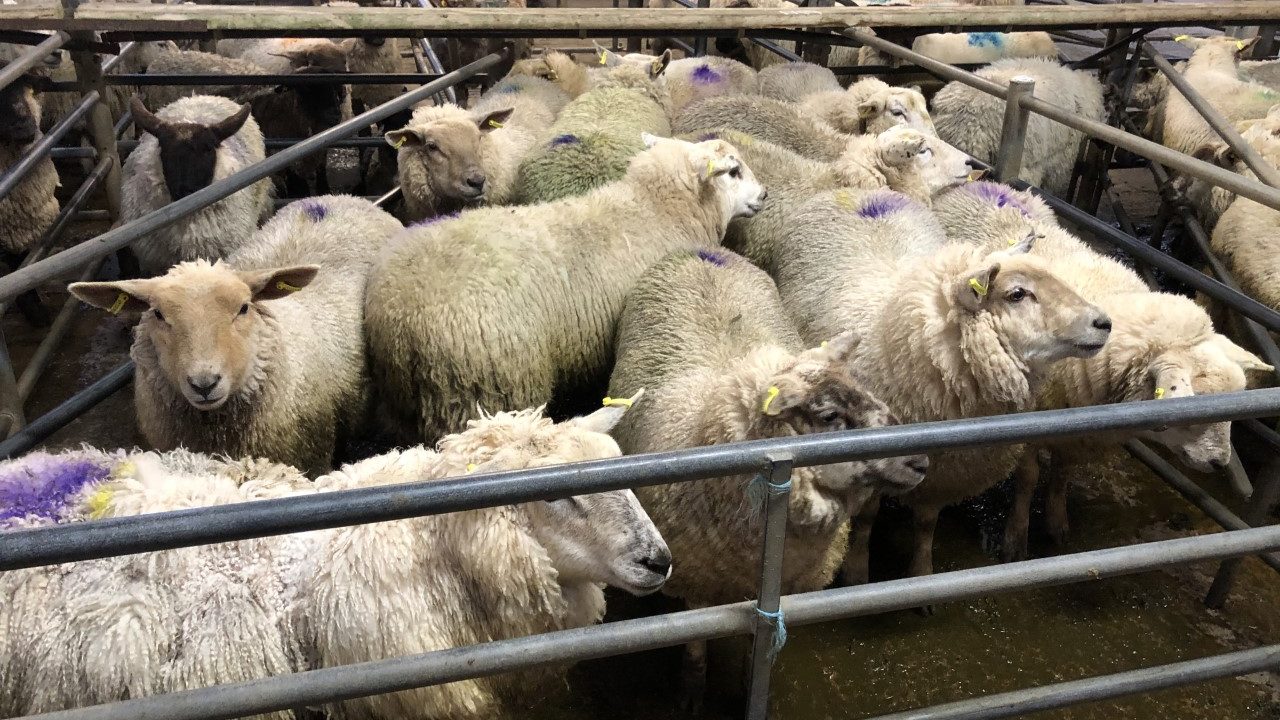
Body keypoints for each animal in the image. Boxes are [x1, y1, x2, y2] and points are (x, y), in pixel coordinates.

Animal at [364, 134, 767, 442]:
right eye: (734, 171)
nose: (764, 195)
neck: (655, 208)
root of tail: (398, 314)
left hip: (405, 401)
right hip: (486, 390)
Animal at [608, 249, 927, 706]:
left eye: (868, 394)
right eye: (829, 416)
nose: (921, 462)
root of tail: (703, 250)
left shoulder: (772, 591)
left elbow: (756, 649)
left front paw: (750, 683)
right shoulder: (694, 580)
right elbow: (695, 647)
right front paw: (691, 693)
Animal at [769, 187, 1112, 582]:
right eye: (1017, 294)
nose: (1104, 323)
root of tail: (858, 191)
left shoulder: (942, 474)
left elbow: (926, 523)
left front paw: (921, 570)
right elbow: (867, 521)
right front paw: (857, 571)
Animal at [933, 181, 1271, 560]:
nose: (1219, 463)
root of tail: (976, 183)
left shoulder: (1077, 430)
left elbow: (1063, 472)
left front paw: (1057, 521)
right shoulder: (1028, 423)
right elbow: (1029, 477)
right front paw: (1016, 537)